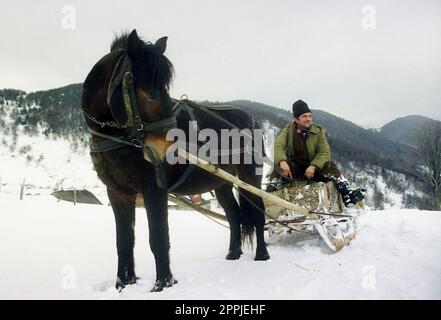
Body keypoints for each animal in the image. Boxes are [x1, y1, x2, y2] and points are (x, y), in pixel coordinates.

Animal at [81, 30, 270, 292]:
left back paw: (262, 255)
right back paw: (233, 254)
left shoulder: (154, 188)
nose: (167, 149)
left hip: (249, 176)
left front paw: (163, 283)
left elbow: (159, 237)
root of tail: (250, 118)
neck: (121, 139)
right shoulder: (118, 192)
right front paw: (123, 284)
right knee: (234, 215)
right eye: (150, 93)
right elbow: (124, 242)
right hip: (220, 182)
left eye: (164, 89)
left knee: (258, 211)